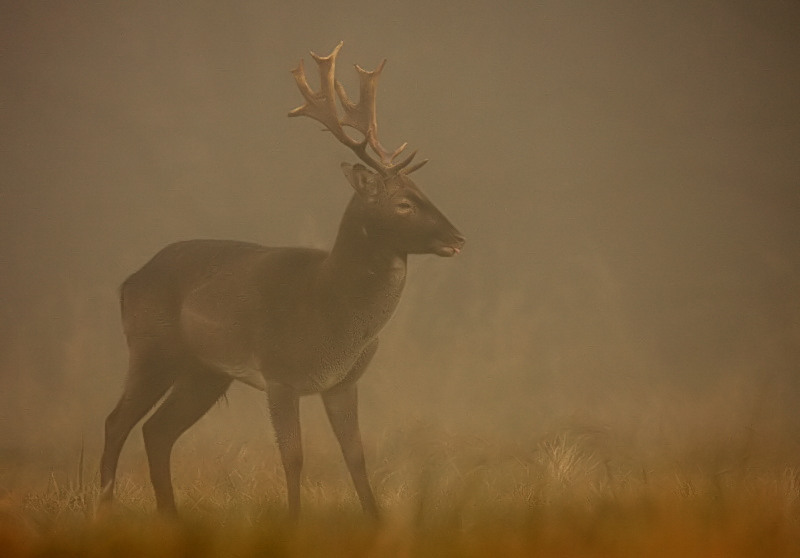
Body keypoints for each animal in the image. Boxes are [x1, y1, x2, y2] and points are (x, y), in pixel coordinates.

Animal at [97, 42, 466, 520]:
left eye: (424, 192)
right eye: (403, 203)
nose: (457, 238)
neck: (332, 307)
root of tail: (127, 283)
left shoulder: (343, 382)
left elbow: (356, 456)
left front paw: (376, 518)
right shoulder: (280, 373)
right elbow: (293, 456)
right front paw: (292, 519)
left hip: (204, 371)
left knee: (158, 430)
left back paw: (170, 516)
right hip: (151, 348)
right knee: (117, 421)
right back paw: (104, 507)